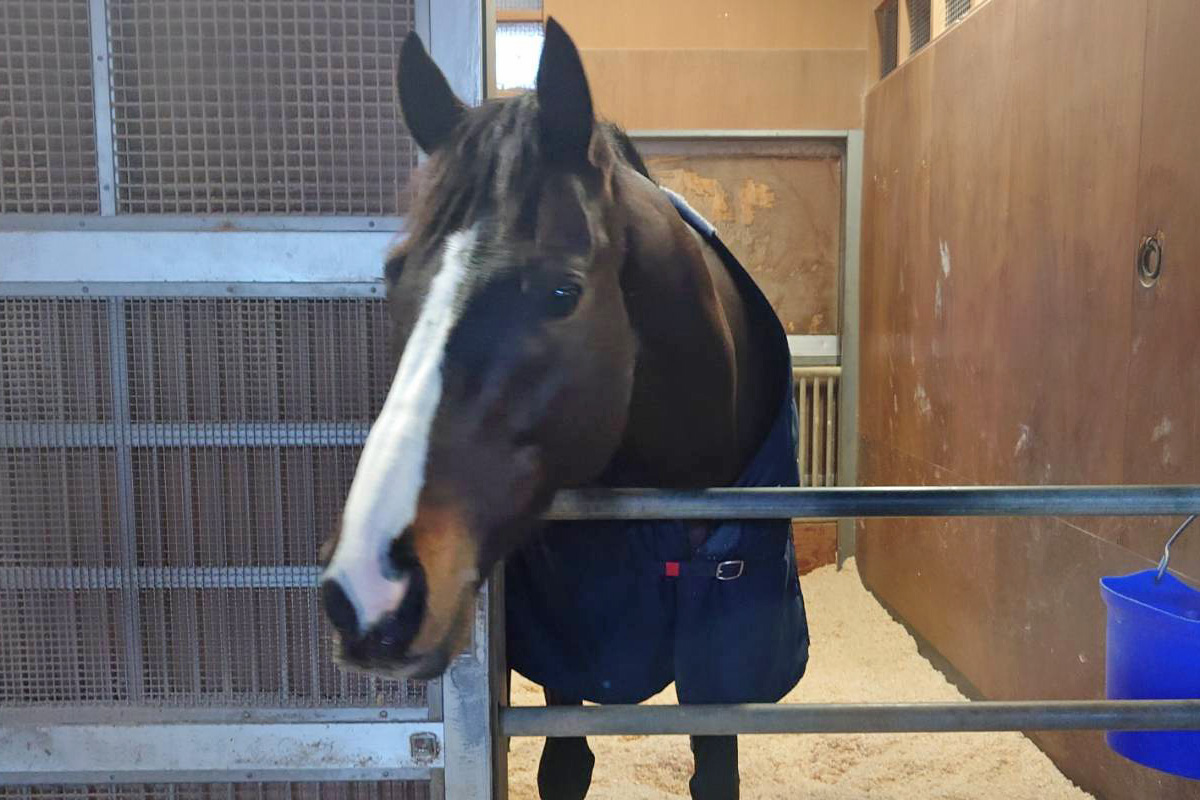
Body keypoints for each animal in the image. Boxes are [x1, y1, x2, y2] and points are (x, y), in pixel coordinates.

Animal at [318, 19, 809, 799]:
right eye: (393, 276)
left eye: (561, 292)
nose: (366, 587)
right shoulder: (568, 656)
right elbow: (566, 767)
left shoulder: (721, 665)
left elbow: (714, 771)